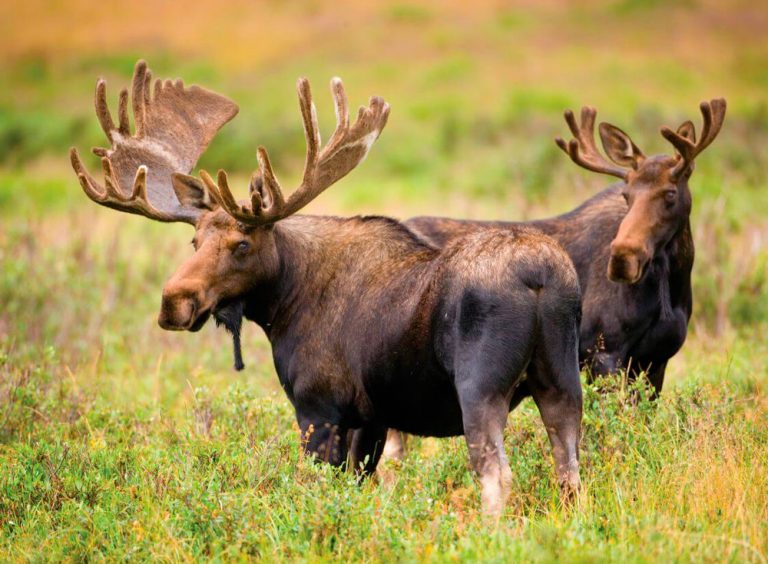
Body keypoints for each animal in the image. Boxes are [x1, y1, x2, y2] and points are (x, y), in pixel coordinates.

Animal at [70, 60, 584, 516]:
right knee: (571, 470)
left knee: (496, 473)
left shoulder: (318, 408)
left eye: (242, 243)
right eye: (194, 240)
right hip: (562, 379)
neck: (284, 304)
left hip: (480, 386)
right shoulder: (371, 417)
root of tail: (540, 278)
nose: (173, 302)